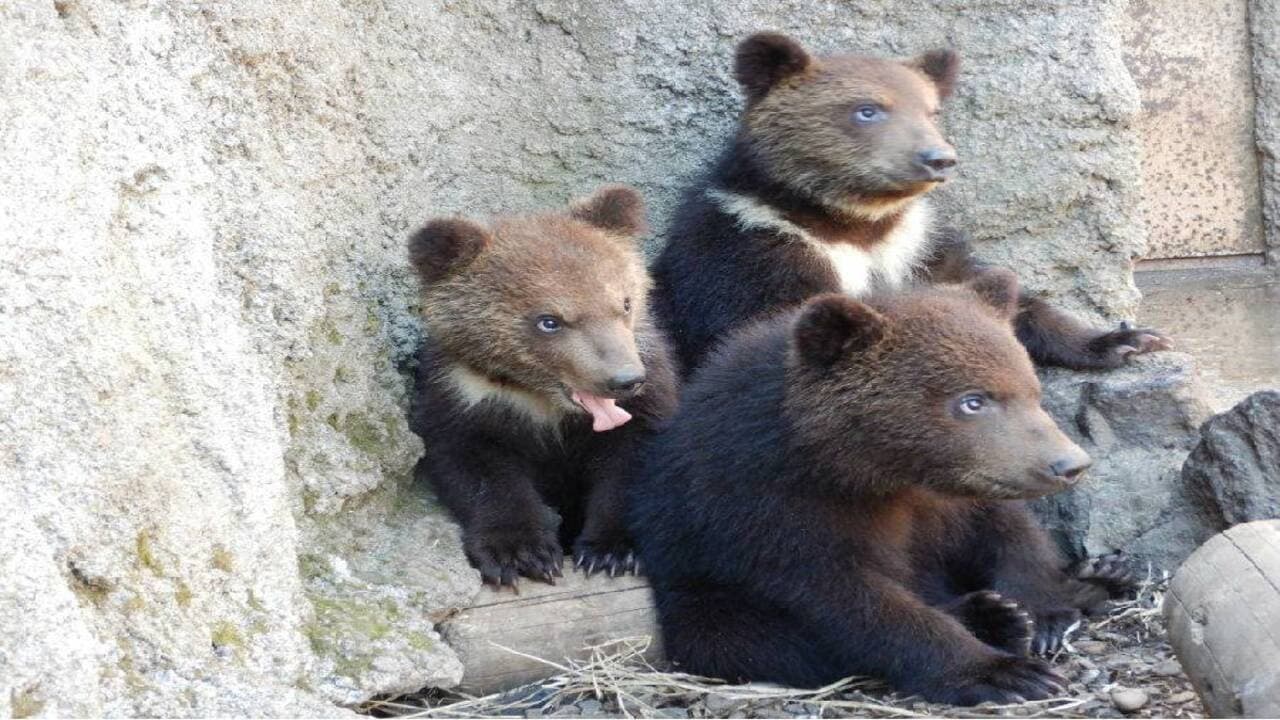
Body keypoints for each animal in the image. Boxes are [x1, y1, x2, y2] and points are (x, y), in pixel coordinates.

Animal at [408, 185, 678, 587]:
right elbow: (479, 470)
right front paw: (521, 554)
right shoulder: (464, 397)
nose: (625, 380)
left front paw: (613, 551)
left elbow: (632, 457)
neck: (543, 404)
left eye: (625, 302)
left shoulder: (649, 391)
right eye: (549, 321)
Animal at [628, 271, 1137, 705]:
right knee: (753, 640)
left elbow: (1007, 528)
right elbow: (847, 597)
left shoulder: (954, 494)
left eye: (1031, 389)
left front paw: (1049, 611)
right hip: (698, 588)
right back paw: (991, 616)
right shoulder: (770, 503)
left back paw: (1098, 578)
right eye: (972, 401)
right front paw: (1005, 673)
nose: (1069, 464)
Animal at [651, 32, 1170, 374]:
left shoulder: (916, 245)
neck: (851, 222)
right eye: (867, 109)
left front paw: (1128, 339)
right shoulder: (750, 245)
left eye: (930, 110)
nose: (938, 158)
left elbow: (995, 293)